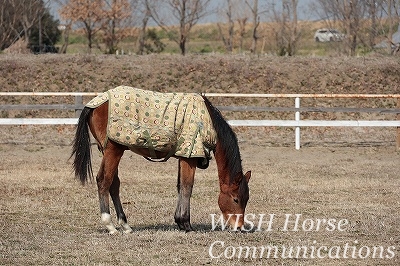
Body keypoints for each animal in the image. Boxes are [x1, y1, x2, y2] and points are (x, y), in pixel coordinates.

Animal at [69, 87, 250, 233]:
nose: (240, 227)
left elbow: (180, 187)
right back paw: (110, 225)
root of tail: (94, 103)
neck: (206, 120)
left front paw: (180, 221)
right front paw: (186, 224)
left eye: (246, 199)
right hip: (113, 150)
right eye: (235, 199)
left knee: (113, 184)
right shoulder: (190, 158)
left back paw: (125, 225)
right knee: (103, 180)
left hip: (110, 151)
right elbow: (187, 187)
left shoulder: (183, 157)